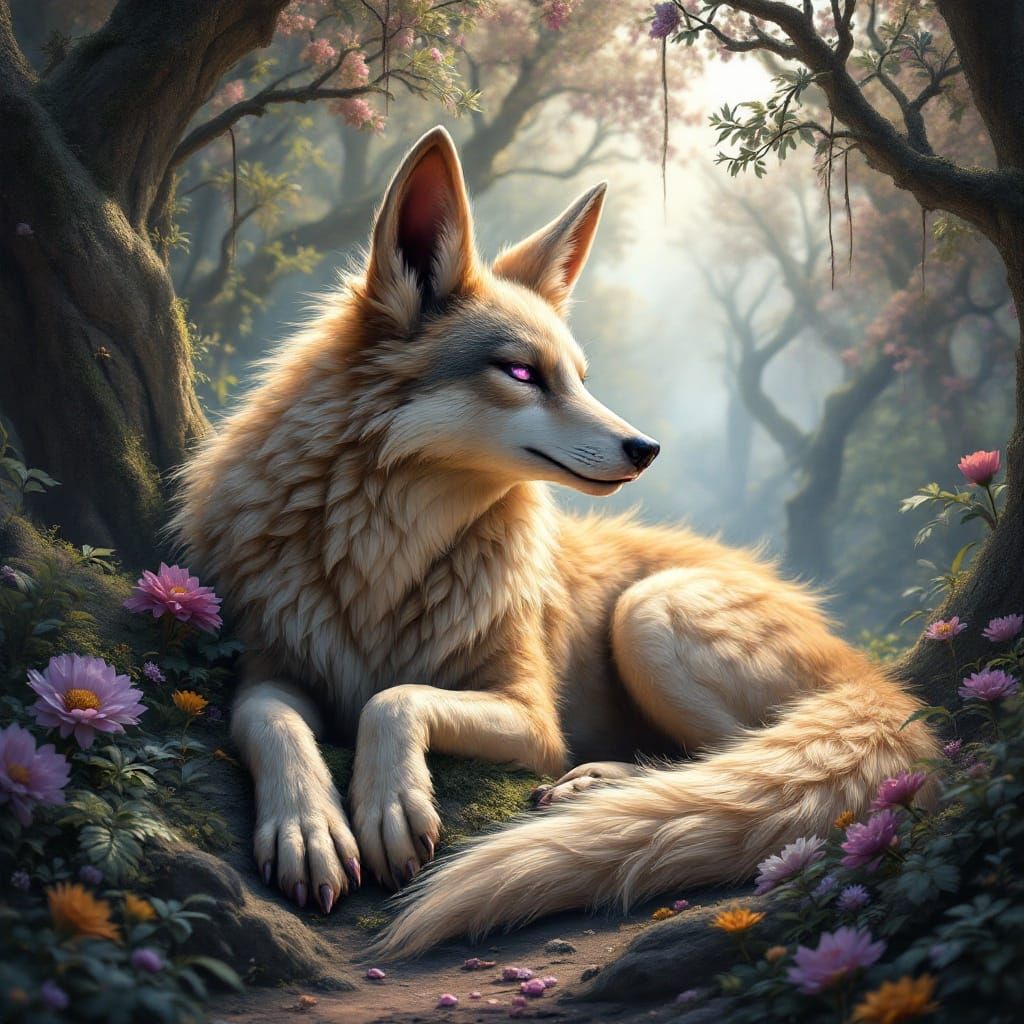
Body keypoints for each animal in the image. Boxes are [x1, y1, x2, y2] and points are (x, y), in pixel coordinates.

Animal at [172, 126, 937, 952]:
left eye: (579, 377)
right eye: (521, 373)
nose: (648, 448)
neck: (386, 560)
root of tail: (869, 672)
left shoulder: (532, 717)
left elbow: (391, 696)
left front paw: (388, 802)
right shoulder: (269, 667)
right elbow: (269, 720)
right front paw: (308, 827)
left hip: (649, 614)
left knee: (737, 756)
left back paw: (603, 784)